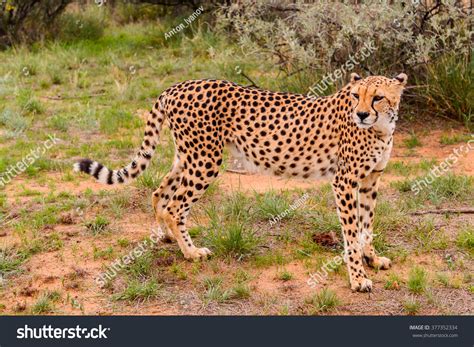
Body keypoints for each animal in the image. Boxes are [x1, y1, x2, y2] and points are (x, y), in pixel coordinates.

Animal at [74, 73, 408, 294]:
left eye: (377, 96)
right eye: (355, 95)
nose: (361, 114)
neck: (380, 128)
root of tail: (177, 86)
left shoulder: (370, 180)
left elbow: (367, 225)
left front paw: (372, 258)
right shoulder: (345, 182)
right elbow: (351, 233)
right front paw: (358, 278)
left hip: (187, 156)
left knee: (159, 192)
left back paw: (167, 237)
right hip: (205, 160)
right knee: (175, 206)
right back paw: (191, 252)